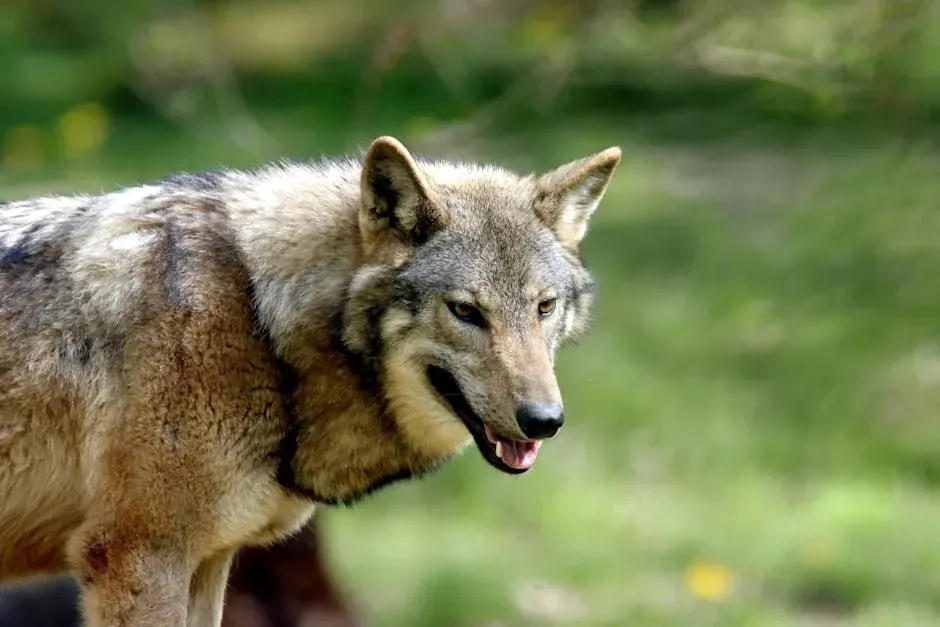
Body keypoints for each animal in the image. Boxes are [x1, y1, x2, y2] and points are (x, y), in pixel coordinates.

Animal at [0, 135, 620, 627]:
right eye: (466, 311)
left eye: (544, 307)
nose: (545, 421)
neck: (259, 320)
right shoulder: (139, 558)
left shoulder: (208, 559)